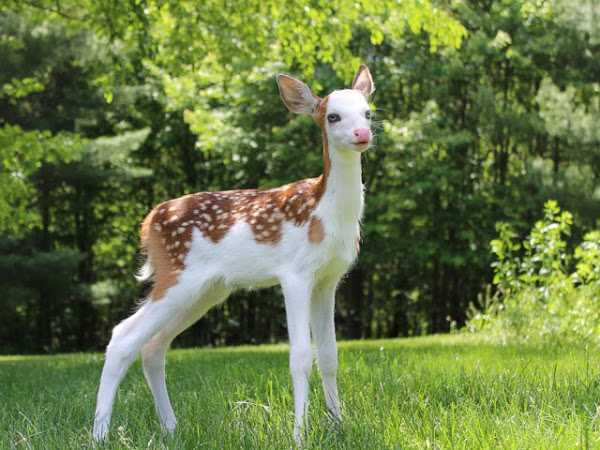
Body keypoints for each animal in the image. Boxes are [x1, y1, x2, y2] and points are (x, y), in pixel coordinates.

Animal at [92, 63, 376, 442]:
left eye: (367, 112)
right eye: (332, 116)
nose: (362, 133)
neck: (326, 212)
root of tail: (149, 221)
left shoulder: (328, 279)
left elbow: (329, 355)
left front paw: (339, 425)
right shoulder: (295, 273)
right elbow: (301, 356)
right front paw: (299, 435)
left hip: (206, 289)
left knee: (153, 346)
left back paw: (171, 428)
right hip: (177, 275)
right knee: (122, 337)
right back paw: (99, 435)